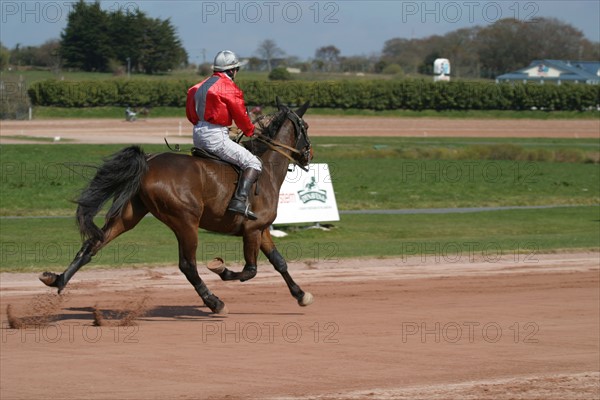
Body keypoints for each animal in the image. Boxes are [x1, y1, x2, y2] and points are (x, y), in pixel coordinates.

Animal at [38, 101, 314, 316]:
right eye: (306, 127)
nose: (309, 156)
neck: (266, 171)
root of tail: (148, 162)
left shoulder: (261, 230)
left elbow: (279, 263)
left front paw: (301, 294)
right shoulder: (252, 230)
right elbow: (250, 271)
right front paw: (220, 269)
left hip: (128, 216)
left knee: (92, 245)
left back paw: (58, 279)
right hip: (185, 223)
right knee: (188, 266)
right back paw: (214, 302)